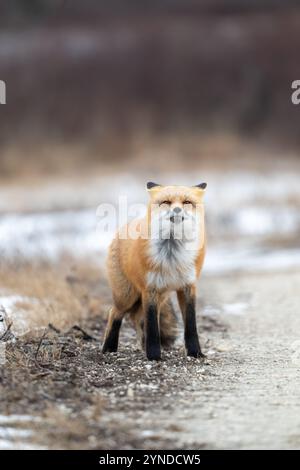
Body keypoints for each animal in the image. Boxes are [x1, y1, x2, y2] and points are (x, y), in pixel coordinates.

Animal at [102, 180, 207, 360]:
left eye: (187, 202)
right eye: (166, 202)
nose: (177, 210)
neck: (173, 255)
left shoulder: (188, 286)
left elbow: (191, 325)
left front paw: (195, 353)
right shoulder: (149, 288)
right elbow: (152, 326)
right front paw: (153, 356)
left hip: (161, 296)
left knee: (138, 318)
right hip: (127, 296)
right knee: (114, 312)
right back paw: (109, 348)